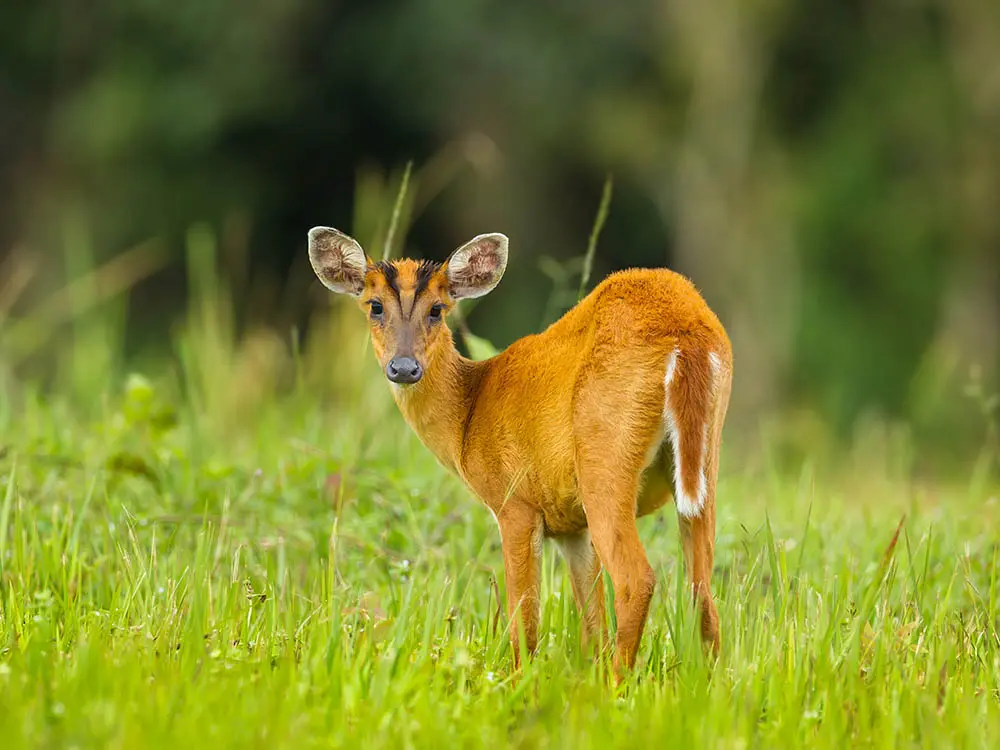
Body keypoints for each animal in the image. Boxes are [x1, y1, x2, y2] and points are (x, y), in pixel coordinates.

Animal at [307, 226, 733, 677]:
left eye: (437, 309)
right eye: (375, 306)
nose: (403, 367)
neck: (469, 415)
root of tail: (687, 334)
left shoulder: (515, 503)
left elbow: (524, 621)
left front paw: (517, 682)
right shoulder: (571, 526)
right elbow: (591, 625)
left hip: (604, 458)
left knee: (638, 580)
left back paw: (617, 685)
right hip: (704, 464)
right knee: (703, 591)